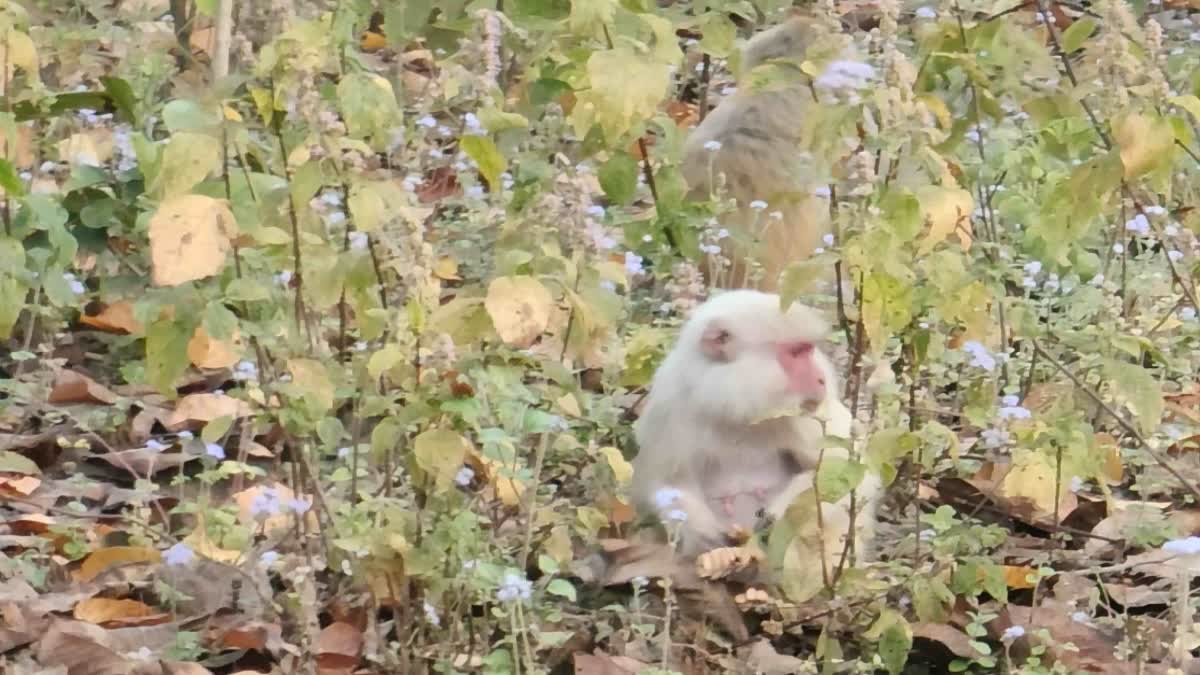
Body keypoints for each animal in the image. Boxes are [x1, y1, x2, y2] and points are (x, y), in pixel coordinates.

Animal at [630, 289, 882, 572]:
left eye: (808, 350)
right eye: (796, 353)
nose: (821, 379)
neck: (732, 406)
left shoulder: (805, 414)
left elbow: (849, 474)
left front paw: (778, 515)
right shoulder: (670, 405)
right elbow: (666, 485)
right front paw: (705, 537)